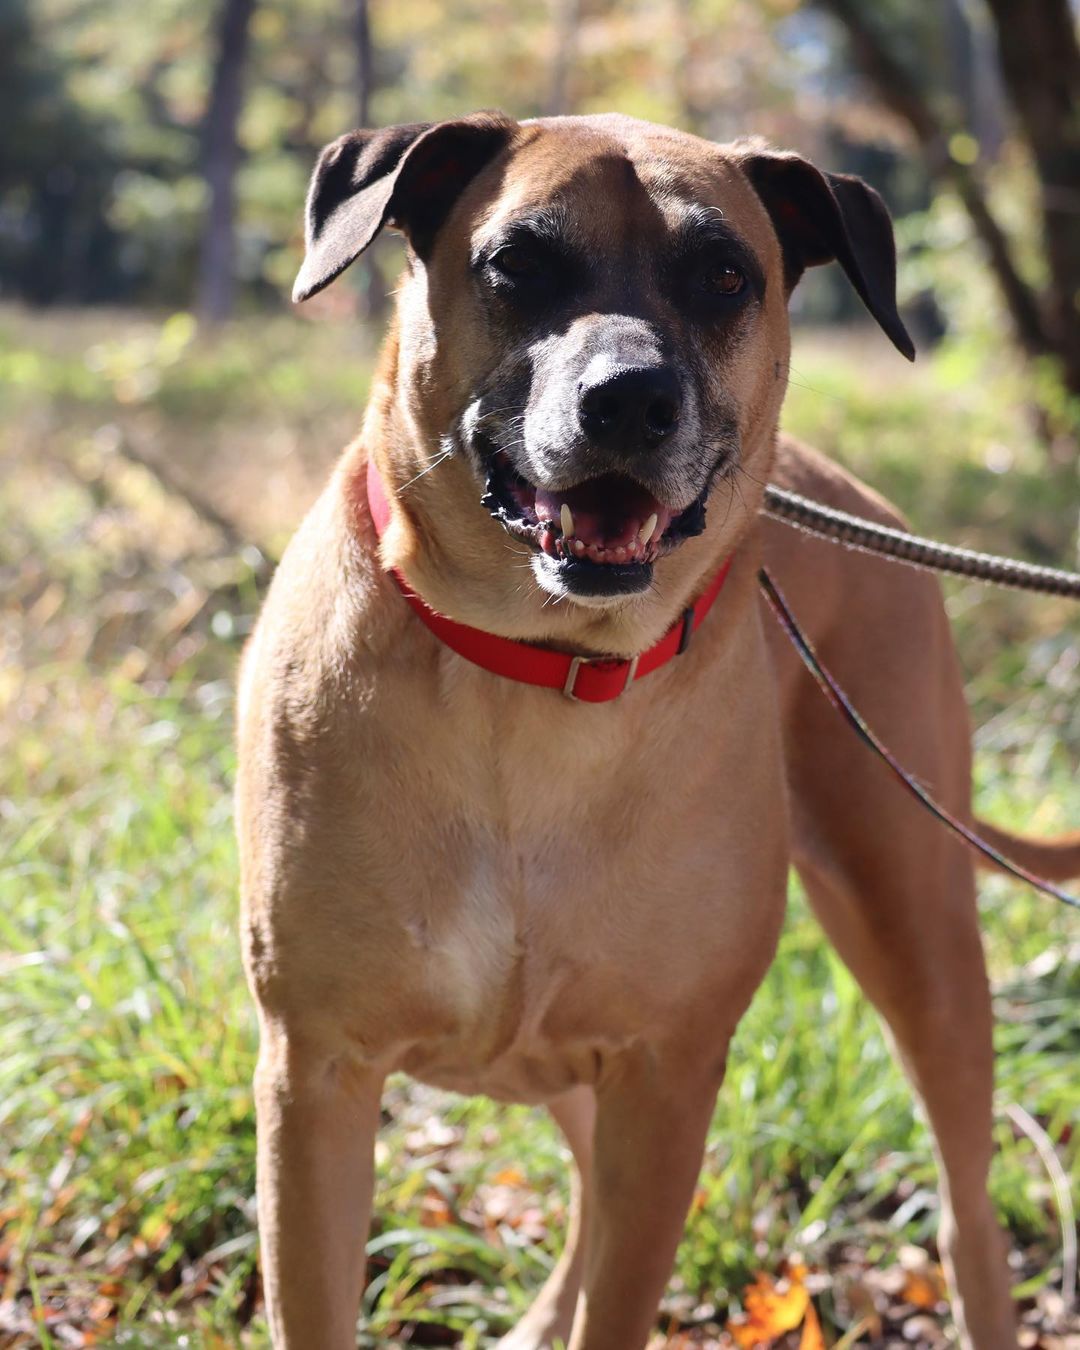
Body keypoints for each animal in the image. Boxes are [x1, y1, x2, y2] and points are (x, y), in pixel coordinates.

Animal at [233, 110, 1069, 1344]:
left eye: (724, 274)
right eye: (519, 263)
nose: (629, 398)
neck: (533, 673)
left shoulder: (667, 1074)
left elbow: (621, 1299)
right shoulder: (317, 1076)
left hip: (921, 936)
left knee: (967, 1206)